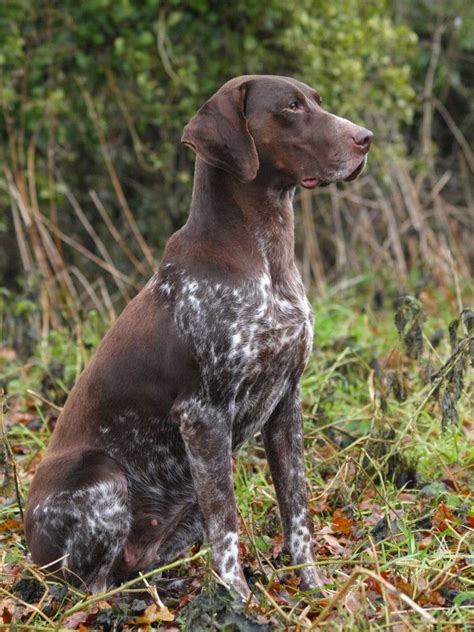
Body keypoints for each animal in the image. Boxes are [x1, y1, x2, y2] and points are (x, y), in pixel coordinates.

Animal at [25, 74, 374, 596]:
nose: (365, 138)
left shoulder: (286, 402)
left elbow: (297, 510)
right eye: (291, 107)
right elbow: (226, 525)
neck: (265, 257)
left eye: (317, 100)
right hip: (105, 481)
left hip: (181, 506)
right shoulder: (203, 416)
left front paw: (311, 587)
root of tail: (28, 550)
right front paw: (238, 600)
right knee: (90, 585)